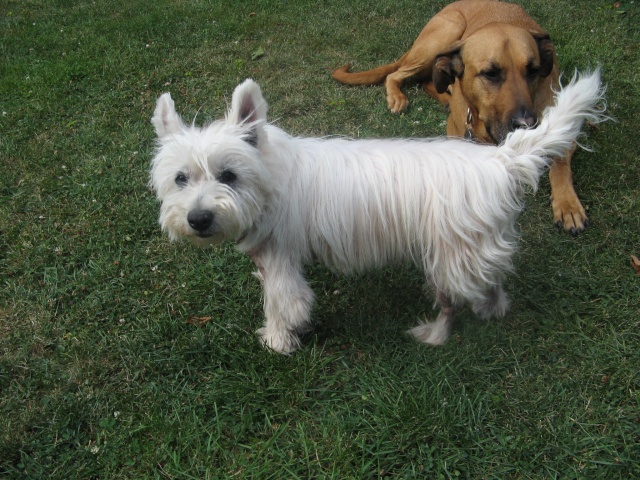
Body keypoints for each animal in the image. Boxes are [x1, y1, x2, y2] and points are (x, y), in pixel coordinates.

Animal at [150, 70, 604, 352]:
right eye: (180, 178)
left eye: (228, 175)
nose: (198, 219)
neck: (269, 177)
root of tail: (500, 160)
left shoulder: (281, 260)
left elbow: (283, 304)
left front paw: (278, 340)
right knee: (492, 284)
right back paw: (491, 310)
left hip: (446, 257)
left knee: (453, 303)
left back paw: (433, 334)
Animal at [336, 0, 592, 234]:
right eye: (490, 74)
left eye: (534, 71)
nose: (526, 124)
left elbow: (560, 162)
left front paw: (567, 204)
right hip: (444, 35)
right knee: (396, 74)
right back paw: (398, 96)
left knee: (425, 80)